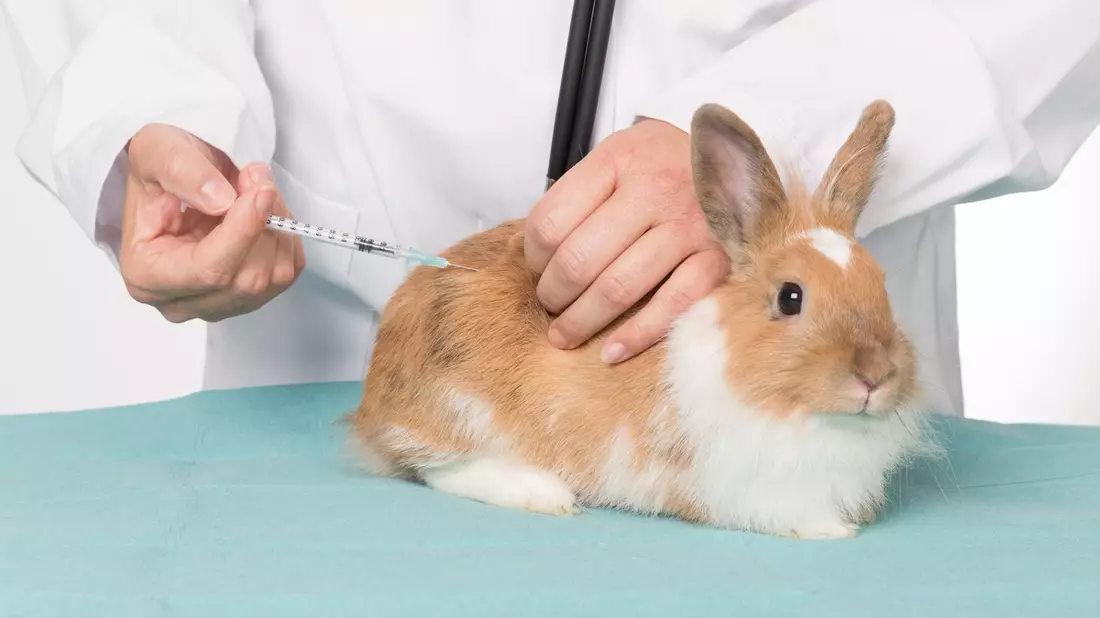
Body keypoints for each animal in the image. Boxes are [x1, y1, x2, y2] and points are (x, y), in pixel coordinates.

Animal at [347, 99, 938, 540]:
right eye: (791, 297)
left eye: (881, 285)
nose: (875, 377)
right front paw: (832, 530)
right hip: (459, 408)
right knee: (435, 467)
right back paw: (543, 494)